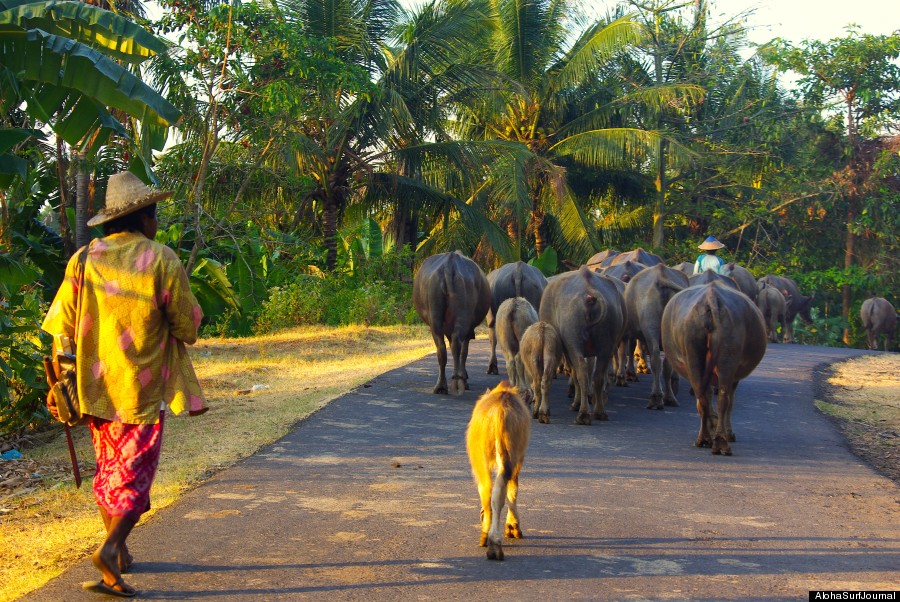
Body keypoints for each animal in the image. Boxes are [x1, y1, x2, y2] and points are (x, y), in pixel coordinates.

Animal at [416, 250, 492, 394]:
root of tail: (449, 265)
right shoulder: (468, 330)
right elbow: (464, 351)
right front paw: (465, 378)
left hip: (435, 316)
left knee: (442, 348)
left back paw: (442, 386)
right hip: (463, 316)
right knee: (457, 345)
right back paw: (458, 381)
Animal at [468, 380, 532, 556]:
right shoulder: (519, 459)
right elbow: (513, 490)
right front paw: (513, 527)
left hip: (482, 458)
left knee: (488, 490)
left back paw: (489, 538)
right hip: (506, 456)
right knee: (497, 490)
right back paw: (493, 542)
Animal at [536, 268, 624, 422]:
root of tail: (590, 293)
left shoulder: (567, 348)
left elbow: (575, 373)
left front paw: (576, 403)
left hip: (572, 338)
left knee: (581, 371)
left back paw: (582, 414)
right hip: (606, 342)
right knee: (598, 375)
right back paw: (599, 412)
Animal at [624, 262, 688, 408]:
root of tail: (661, 277)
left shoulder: (631, 331)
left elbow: (631, 348)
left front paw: (631, 373)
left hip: (650, 324)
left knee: (656, 359)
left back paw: (656, 397)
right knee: (667, 364)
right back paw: (669, 397)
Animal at [660, 282, 768, 454]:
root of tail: (711, 297)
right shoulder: (733, 377)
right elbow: (728, 400)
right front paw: (728, 432)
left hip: (693, 350)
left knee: (703, 398)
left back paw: (705, 439)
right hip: (726, 356)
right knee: (723, 398)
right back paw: (720, 441)